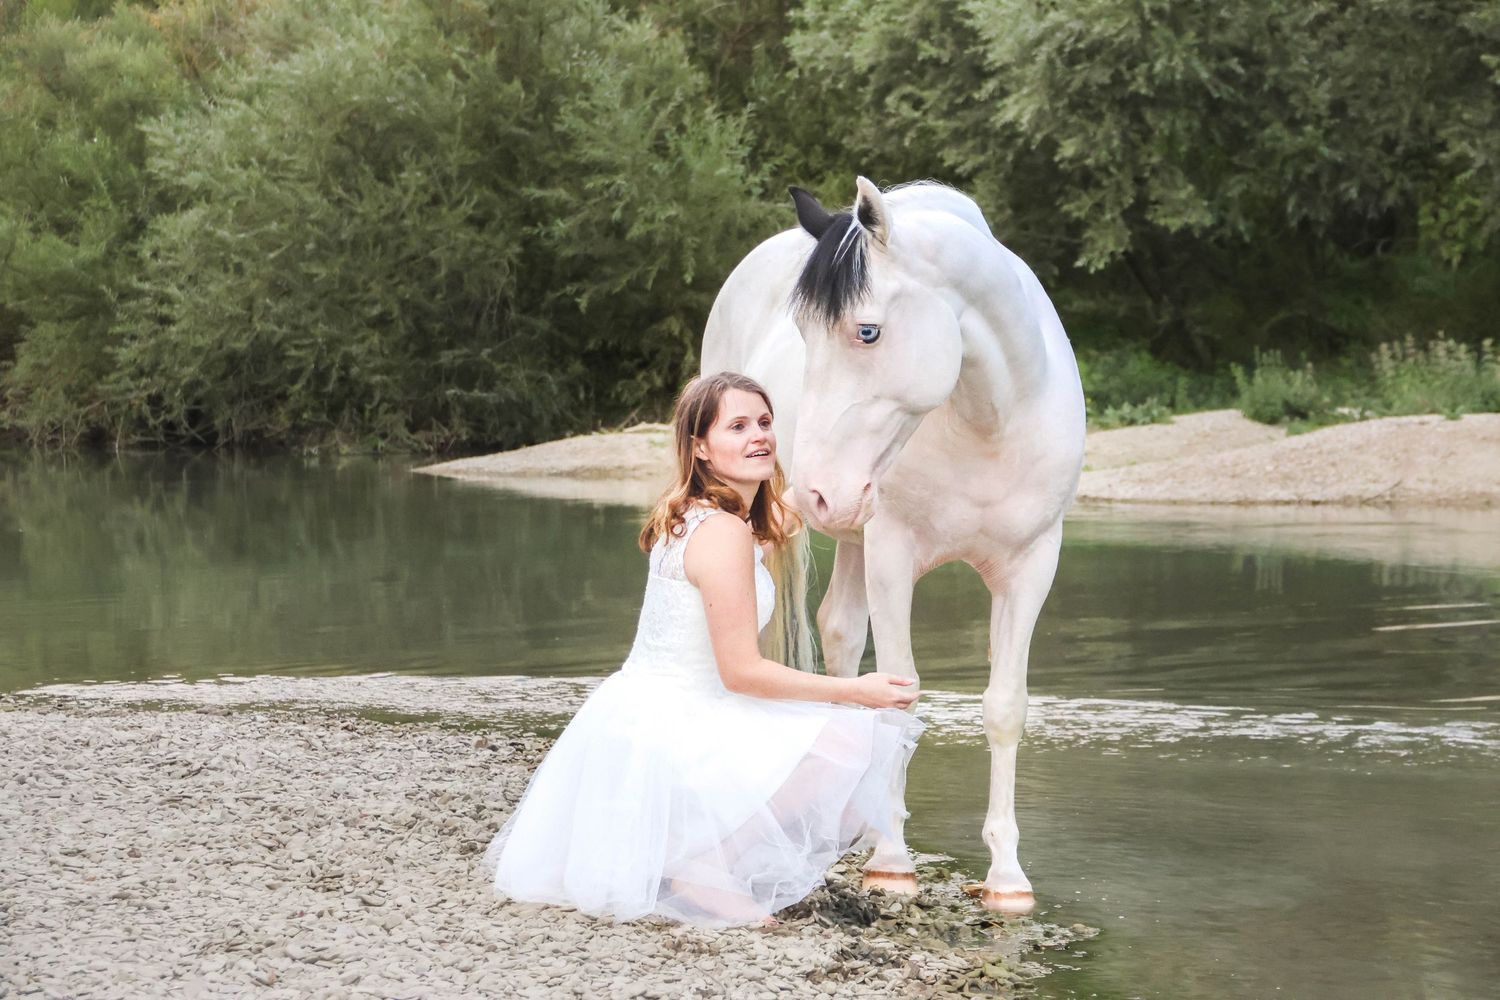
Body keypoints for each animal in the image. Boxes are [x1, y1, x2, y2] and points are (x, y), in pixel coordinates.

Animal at [700, 177, 1086, 914]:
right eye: (802, 334)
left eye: (867, 330)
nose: (816, 492)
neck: (988, 422)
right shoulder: (894, 557)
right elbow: (899, 698)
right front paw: (893, 864)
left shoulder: (1031, 567)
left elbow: (1005, 709)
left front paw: (1007, 877)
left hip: (857, 532)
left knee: (841, 634)